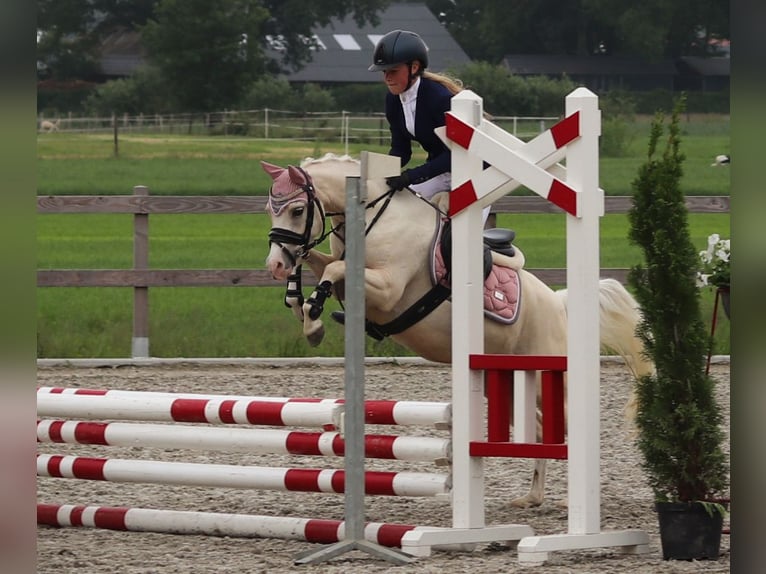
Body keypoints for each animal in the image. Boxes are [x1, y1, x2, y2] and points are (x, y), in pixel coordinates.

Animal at [266, 153, 656, 508]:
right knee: (541, 430)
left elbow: (335, 270)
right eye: (272, 208)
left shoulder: (388, 289)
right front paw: (301, 305)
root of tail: (559, 304)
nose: (273, 265)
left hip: (546, 375)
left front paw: (313, 321)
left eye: (297, 210)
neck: (375, 220)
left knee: (568, 425)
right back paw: (532, 497)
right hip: (509, 381)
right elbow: (321, 264)